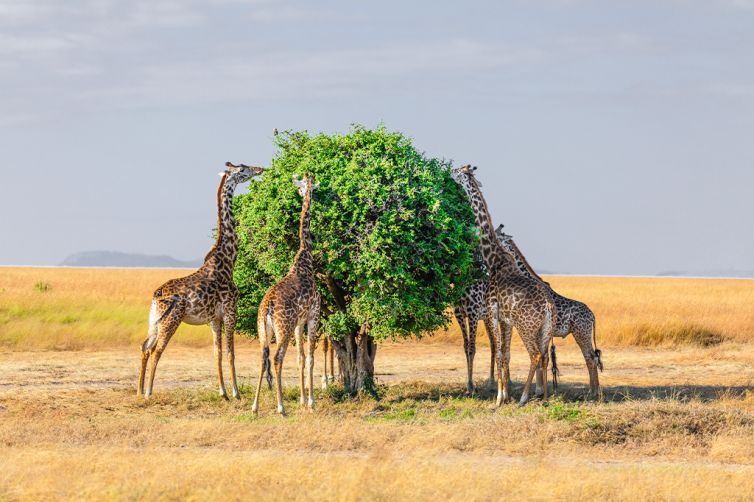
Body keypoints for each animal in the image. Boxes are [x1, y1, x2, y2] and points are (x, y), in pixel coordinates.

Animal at [137, 162, 265, 399]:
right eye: (243, 169)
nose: (260, 169)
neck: (227, 260)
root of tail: (156, 295)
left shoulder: (214, 318)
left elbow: (217, 353)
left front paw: (223, 393)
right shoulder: (230, 311)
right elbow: (231, 353)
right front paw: (236, 393)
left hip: (154, 321)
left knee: (145, 347)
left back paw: (140, 390)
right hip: (172, 320)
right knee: (156, 350)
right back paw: (149, 391)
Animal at [252, 174, 321, 415]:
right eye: (305, 188)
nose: (304, 193)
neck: (305, 258)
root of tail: (268, 307)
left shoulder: (300, 322)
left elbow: (300, 357)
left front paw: (302, 398)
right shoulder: (313, 315)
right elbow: (310, 358)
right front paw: (311, 402)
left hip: (264, 330)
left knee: (262, 358)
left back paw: (254, 406)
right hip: (284, 328)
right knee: (276, 358)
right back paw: (281, 407)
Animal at [451, 164, 557, 406]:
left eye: (458, 171)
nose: (449, 173)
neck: (494, 260)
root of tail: (548, 306)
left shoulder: (490, 311)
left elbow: (497, 352)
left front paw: (499, 398)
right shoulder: (504, 319)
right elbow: (504, 353)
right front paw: (504, 394)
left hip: (526, 326)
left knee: (536, 354)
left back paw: (525, 397)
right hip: (545, 328)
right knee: (544, 355)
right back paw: (545, 397)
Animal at [495, 225, 603, 398]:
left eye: (499, 235)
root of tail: (592, 316)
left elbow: (540, 357)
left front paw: (538, 391)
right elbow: (542, 358)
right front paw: (540, 391)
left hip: (581, 333)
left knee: (590, 358)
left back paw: (593, 392)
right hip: (582, 334)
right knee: (592, 357)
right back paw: (594, 391)